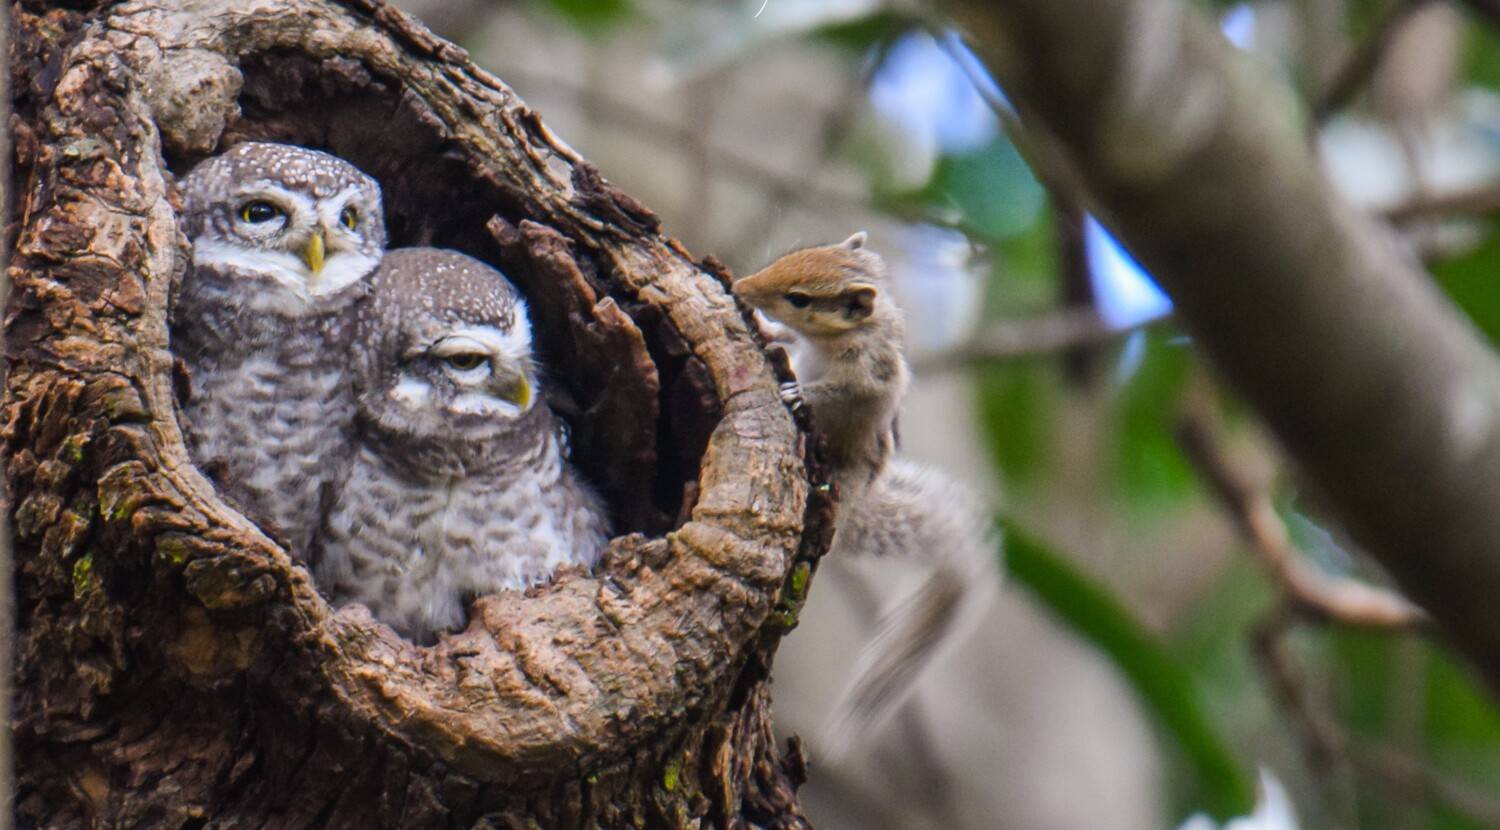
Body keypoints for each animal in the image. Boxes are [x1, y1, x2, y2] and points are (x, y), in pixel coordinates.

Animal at [733, 233, 1000, 757]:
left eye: (800, 298)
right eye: (786, 259)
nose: (742, 286)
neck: (840, 337)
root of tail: (855, 503)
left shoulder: (865, 379)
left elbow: (834, 392)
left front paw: (798, 393)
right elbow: (789, 342)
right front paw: (767, 330)